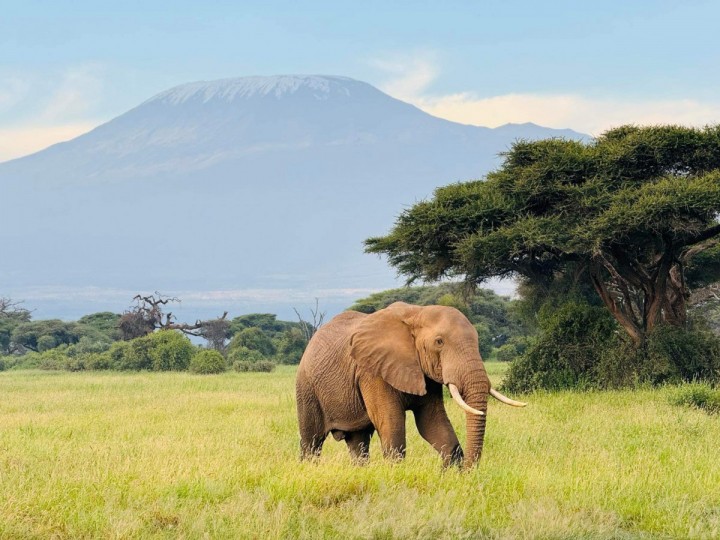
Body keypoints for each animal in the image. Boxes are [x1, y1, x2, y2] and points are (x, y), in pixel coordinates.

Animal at [296, 300, 524, 468]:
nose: (469, 471)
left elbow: (432, 423)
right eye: (439, 342)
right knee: (312, 442)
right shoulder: (373, 371)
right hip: (306, 387)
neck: (417, 312)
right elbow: (392, 424)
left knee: (358, 443)